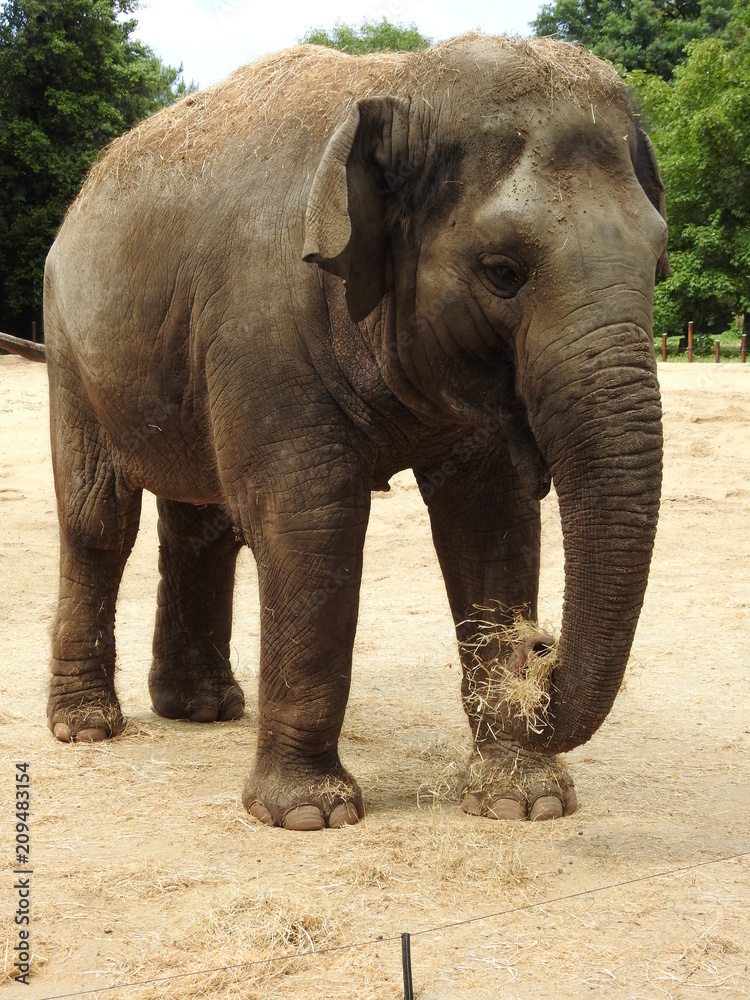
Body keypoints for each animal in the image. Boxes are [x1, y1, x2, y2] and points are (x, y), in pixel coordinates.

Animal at [2, 34, 668, 830]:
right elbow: (311, 517)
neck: (402, 80)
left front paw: (523, 802)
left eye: (660, 262)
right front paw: (308, 816)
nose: (534, 646)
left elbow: (493, 518)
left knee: (201, 523)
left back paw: (204, 709)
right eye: (502, 270)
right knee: (99, 519)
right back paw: (87, 726)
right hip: (70, 344)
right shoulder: (262, 325)